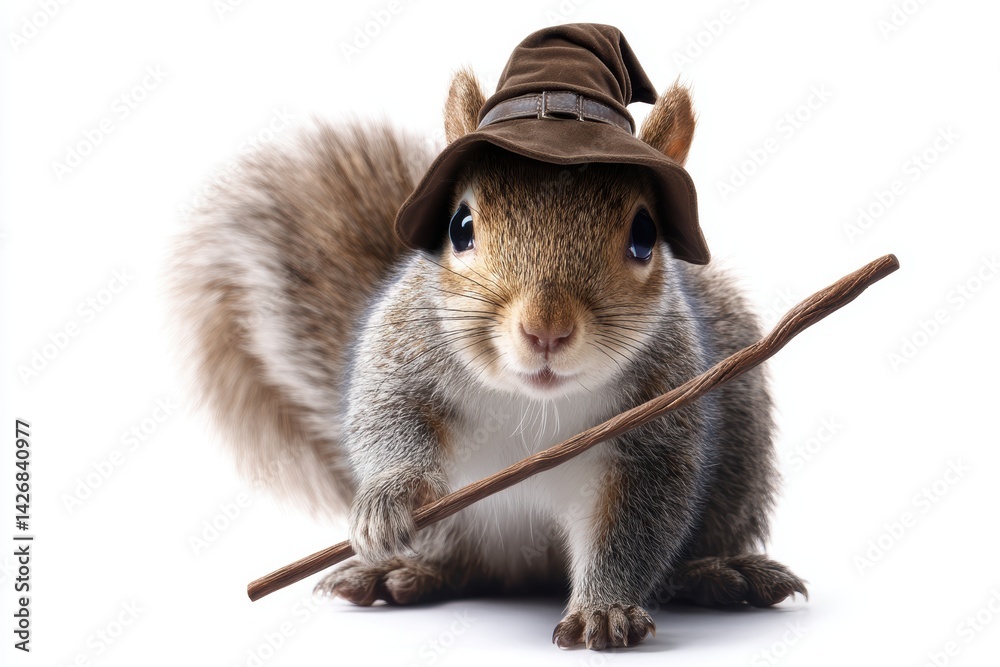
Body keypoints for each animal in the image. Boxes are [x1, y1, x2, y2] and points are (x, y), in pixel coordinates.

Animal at [171, 63, 807, 650]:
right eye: (460, 226)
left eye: (645, 235)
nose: (546, 329)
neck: (534, 404)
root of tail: (519, 571)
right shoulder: (401, 349)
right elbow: (386, 417)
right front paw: (389, 500)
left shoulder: (659, 418)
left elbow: (631, 524)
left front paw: (604, 610)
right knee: (459, 566)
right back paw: (401, 572)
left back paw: (718, 573)